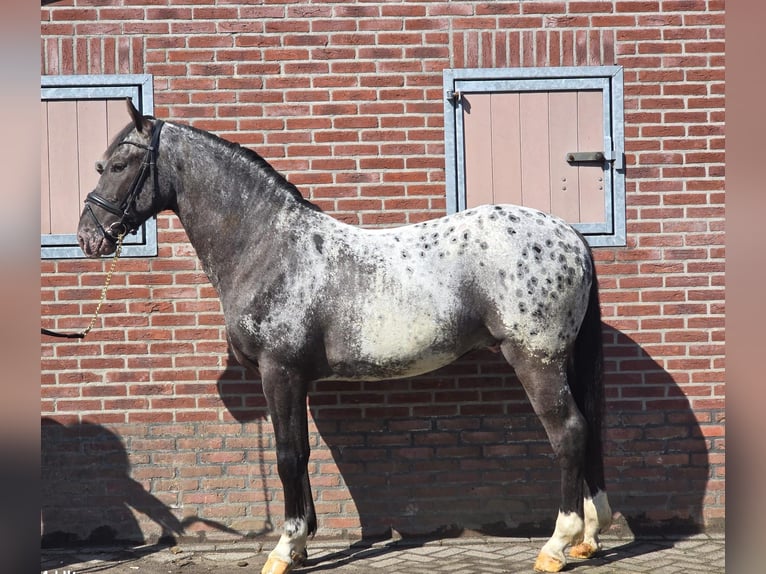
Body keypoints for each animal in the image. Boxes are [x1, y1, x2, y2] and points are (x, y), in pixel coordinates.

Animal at [77, 100, 612, 574]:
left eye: (119, 164)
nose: (88, 236)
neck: (268, 246)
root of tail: (571, 236)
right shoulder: (296, 380)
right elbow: (302, 453)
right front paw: (300, 546)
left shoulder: (280, 372)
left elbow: (287, 457)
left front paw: (283, 550)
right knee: (588, 429)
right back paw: (589, 536)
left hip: (535, 359)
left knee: (568, 433)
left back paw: (556, 546)